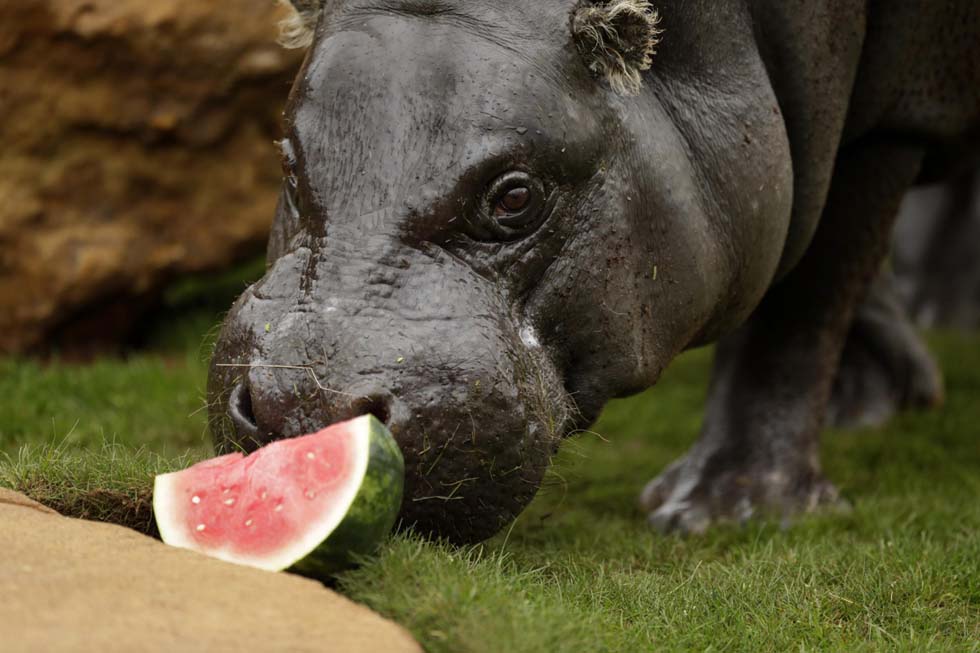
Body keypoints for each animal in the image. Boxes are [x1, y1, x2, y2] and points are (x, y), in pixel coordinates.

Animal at [203, 0, 976, 540]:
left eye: (515, 196)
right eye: (287, 162)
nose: (307, 412)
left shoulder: (888, 122)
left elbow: (805, 308)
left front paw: (723, 511)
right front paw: (870, 397)